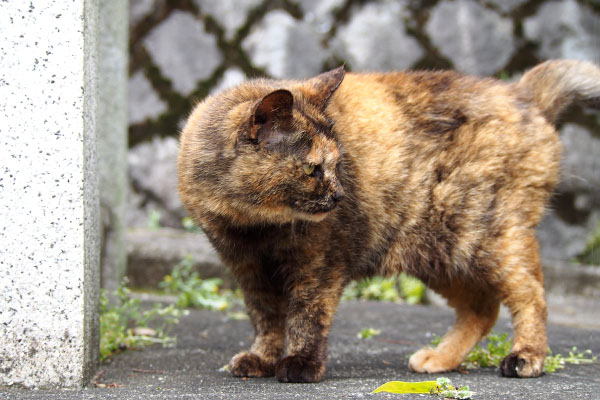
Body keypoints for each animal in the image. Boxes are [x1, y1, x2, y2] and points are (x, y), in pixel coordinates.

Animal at [178, 59, 600, 382]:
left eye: (338, 164)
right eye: (314, 169)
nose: (340, 196)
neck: (254, 226)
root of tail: (522, 92)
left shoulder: (319, 264)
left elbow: (306, 314)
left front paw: (300, 364)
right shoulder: (247, 268)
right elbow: (265, 318)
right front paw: (262, 359)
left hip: (488, 237)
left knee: (531, 295)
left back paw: (526, 357)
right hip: (438, 255)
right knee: (482, 307)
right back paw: (439, 359)